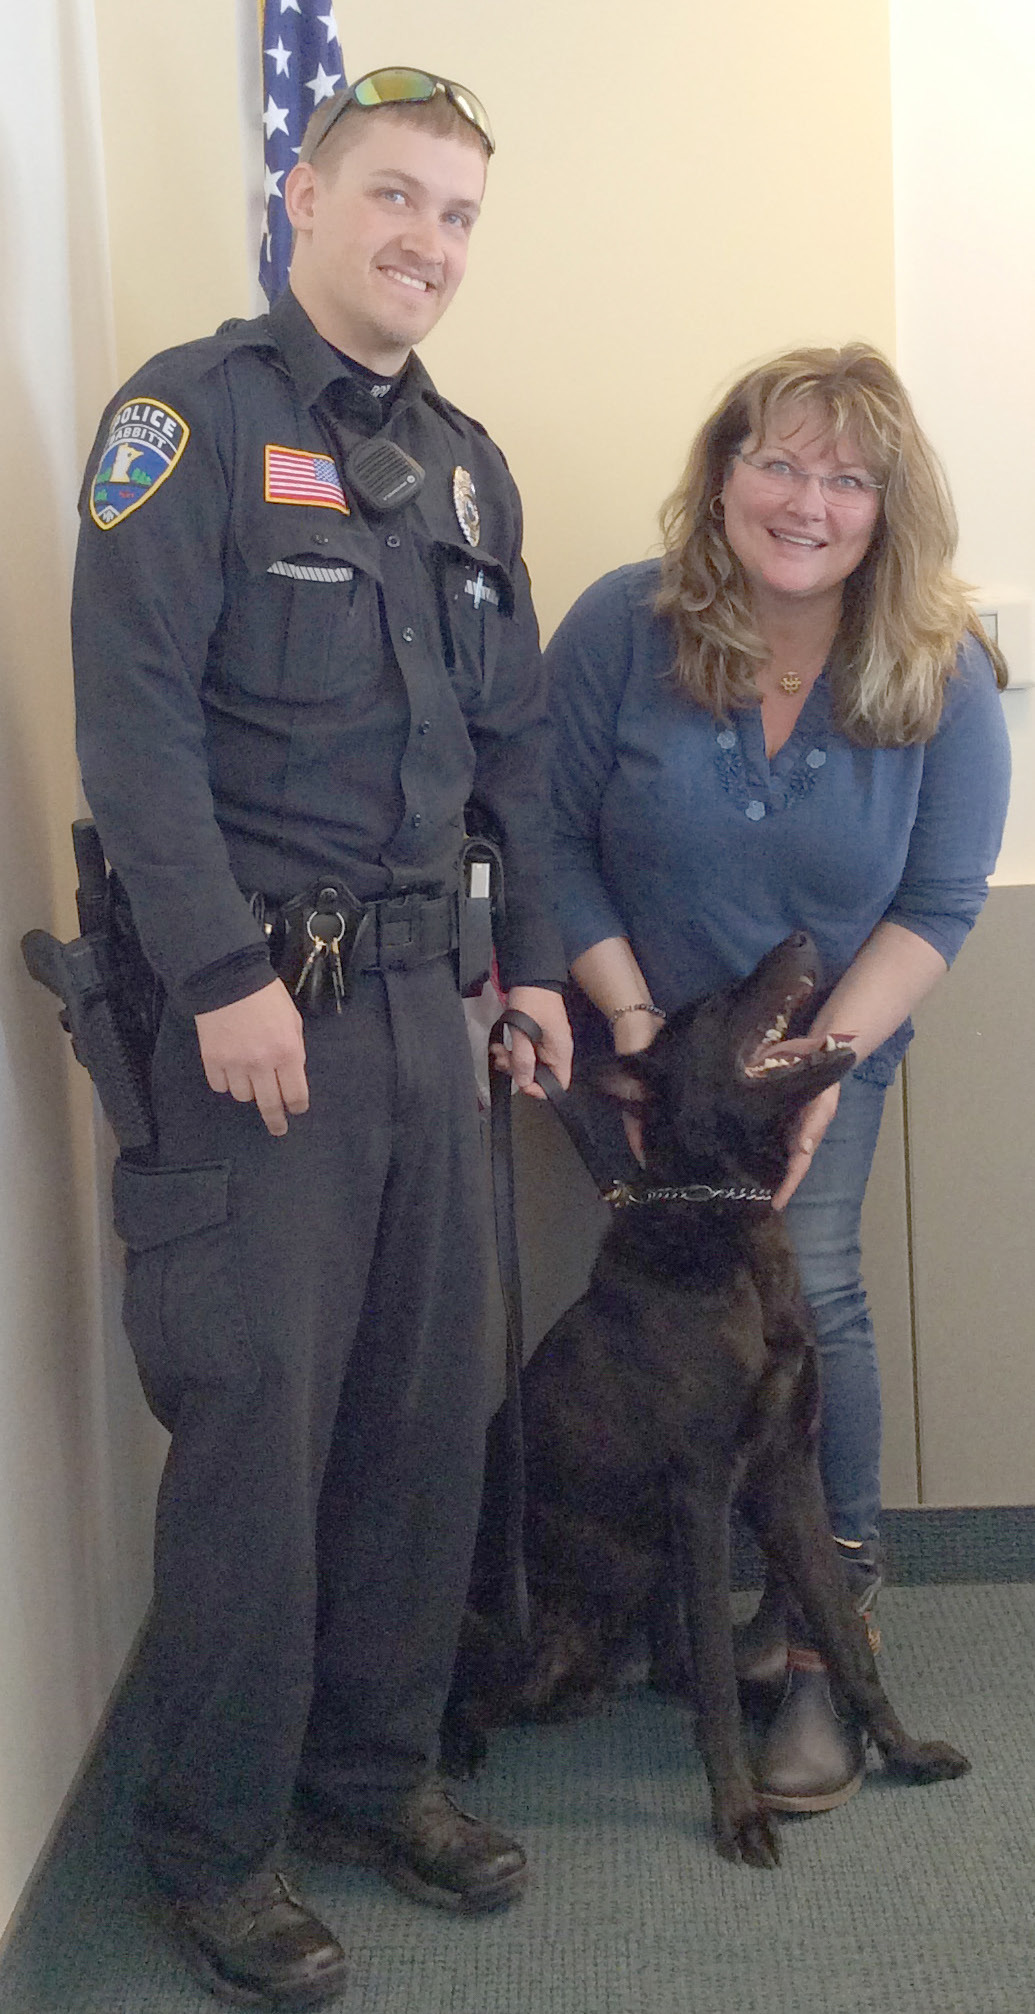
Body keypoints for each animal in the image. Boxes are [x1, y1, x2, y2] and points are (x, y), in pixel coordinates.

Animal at [445, 933, 969, 1867]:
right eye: (719, 1003)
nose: (800, 938)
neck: (727, 1214)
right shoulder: (700, 1490)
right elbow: (721, 1689)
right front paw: (737, 1814)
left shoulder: (786, 1477)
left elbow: (840, 1634)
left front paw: (902, 1752)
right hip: (515, 1624)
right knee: (465, 1694)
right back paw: (456, 1747)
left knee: (669, 1667)